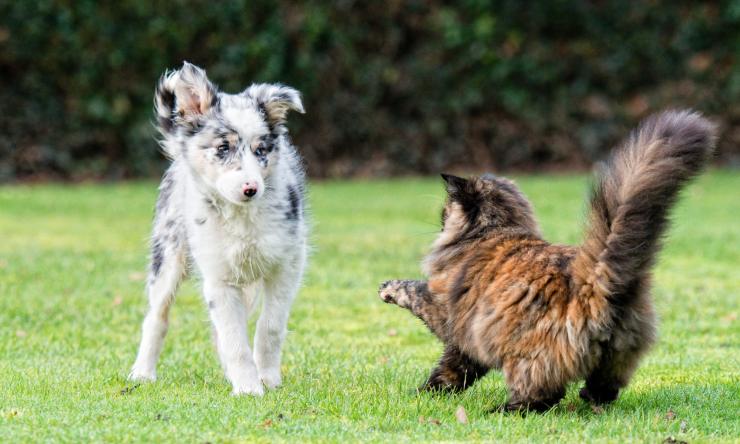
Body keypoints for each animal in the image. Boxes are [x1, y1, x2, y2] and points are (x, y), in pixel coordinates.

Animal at [130, 61, 306, 396]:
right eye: (223, 148)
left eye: (261, 150)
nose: (251, 188)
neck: (242, 217)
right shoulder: (218, 277)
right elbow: (234, 338)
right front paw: (248, 388)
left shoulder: (286, 266)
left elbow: (270, 326)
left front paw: (267, 378)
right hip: (167, 255)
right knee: (156, 317)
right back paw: (142, 373)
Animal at [378, 109, 712, 412]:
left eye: (445, 212)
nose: (440, 221)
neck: (494, 230)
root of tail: (595, 278)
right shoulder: (466, 341)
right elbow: (451, 371)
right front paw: (428, 393)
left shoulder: (446, 311)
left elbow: (414, 292)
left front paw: (388, 289)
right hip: (617, 354)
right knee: (605, 389)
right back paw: (589, 398)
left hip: (526, 356)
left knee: (542, 396)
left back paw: (502, 410)